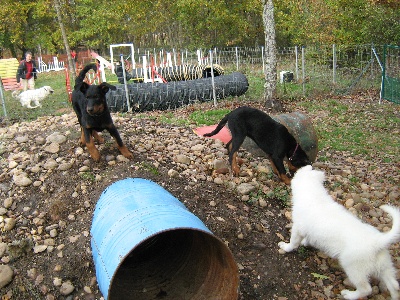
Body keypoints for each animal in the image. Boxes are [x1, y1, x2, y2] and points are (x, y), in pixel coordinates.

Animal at [278, 165, 400, 298]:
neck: (314, 195)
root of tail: (378, 241)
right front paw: (305, 242)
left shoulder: (297, 228)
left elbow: (293, 242)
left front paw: (285, 247)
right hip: (384, 267)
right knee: (394, 286)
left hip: (353, 267)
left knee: (366, 289)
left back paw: (349, 295)